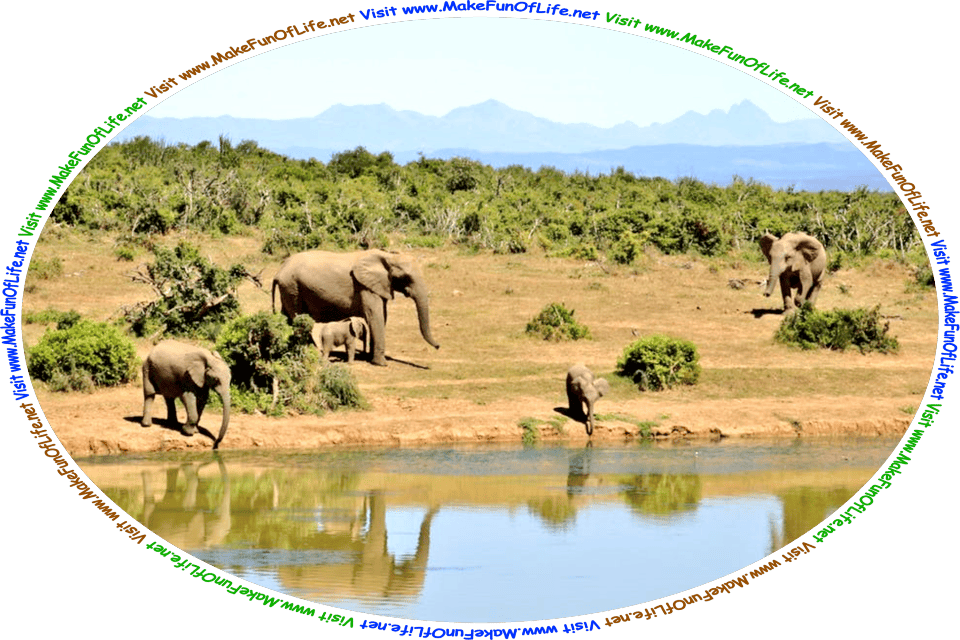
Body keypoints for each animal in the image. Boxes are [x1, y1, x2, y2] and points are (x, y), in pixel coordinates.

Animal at [272, 249, 440, 366]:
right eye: (406, 278)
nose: (438, 346)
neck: (388, 256)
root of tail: (279, 270)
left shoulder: (378, 286)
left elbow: (382, 316)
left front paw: (371, 358)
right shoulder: (364, 286)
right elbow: (375, 316)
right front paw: (381, 364)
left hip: (289, 289)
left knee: (287, 317)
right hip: (293, 287)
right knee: (298, 318)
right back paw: (313, 352)